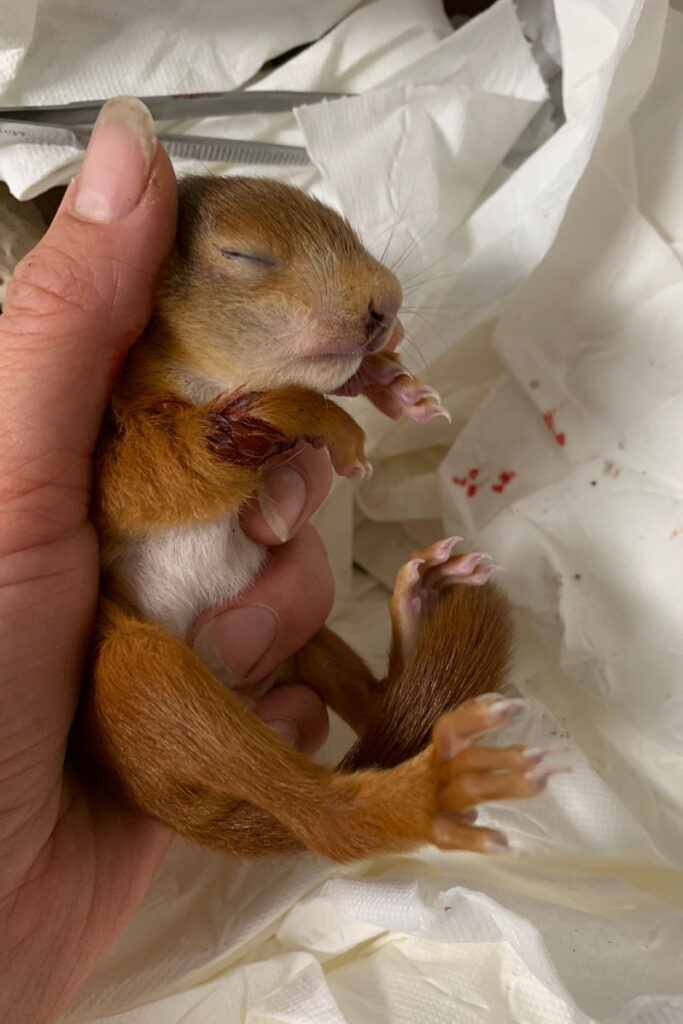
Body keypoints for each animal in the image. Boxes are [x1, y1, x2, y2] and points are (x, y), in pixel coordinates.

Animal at [85, 176, 561, 862]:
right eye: (243, 255)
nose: (388, 306)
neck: (208, 376)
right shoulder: (108, 451)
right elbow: (155, 471)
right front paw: (315, 412)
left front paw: (387, 382)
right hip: (140, 680)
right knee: (321, 814)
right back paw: (424, 793)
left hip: (307, 645)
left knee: (380, 703)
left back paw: (419, 605)